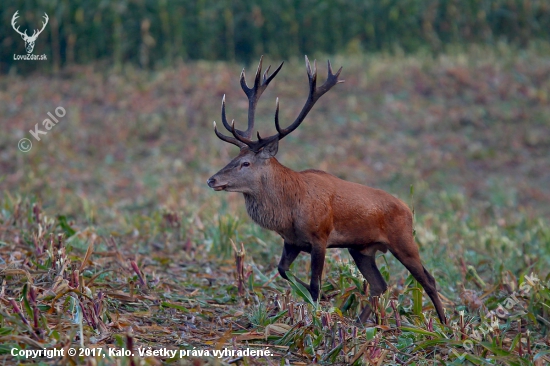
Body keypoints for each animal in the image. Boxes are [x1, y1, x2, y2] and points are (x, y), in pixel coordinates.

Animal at [207, 55, 448, 324]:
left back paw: (444, 324)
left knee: (428, 279)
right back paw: (360, 323)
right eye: (235, 157)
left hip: (404, 240)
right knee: (379, 285)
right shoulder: (291, 241)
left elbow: (314, 284)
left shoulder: (319, 237)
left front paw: (319, 309)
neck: (288, 212)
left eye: (246, 163)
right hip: (361, 249)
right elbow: (282, 270)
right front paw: (322, 300)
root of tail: (408, 209)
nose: (212, 180)